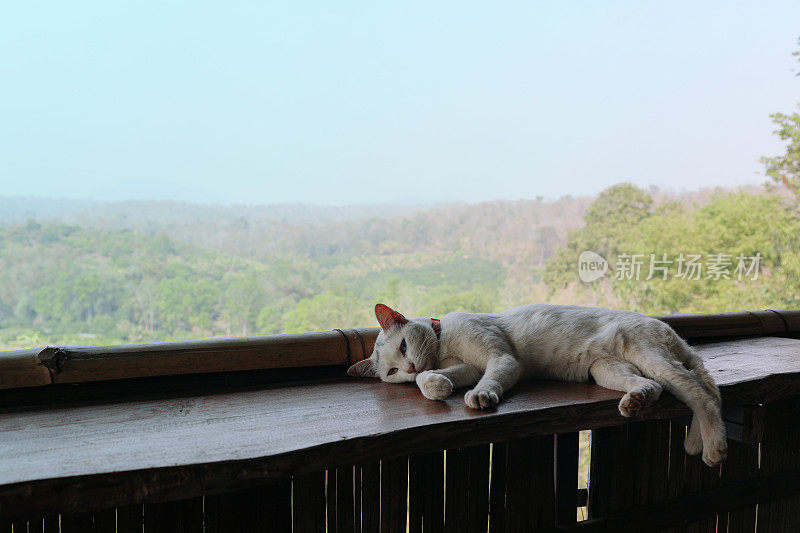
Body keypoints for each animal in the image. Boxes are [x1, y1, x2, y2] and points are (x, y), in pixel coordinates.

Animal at [346, 304, 728, 466]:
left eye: (404, 347)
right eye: (392, 372)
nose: (409, 367)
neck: (444, 348)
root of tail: (676, 336)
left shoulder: (501, 360)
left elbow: (488, 379)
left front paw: (480, 396)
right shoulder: (468, 367)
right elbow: (433, 379)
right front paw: (436, 385)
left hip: (648, 355)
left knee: (703, 395)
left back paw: (713, 448)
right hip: (606, 370)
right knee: (660, 388)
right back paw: (636, 402)